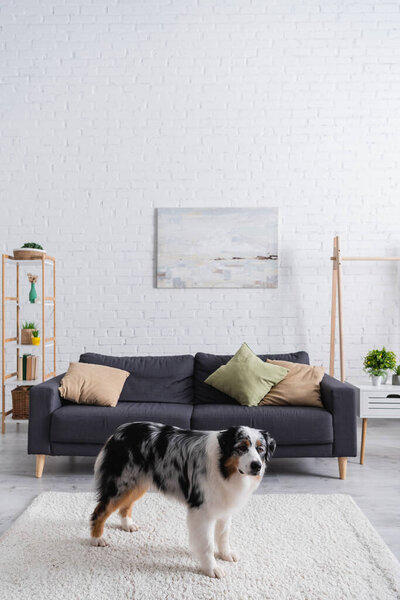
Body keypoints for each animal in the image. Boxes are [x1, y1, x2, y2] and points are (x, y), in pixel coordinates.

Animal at [90, 422, 276, 576]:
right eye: (242, 447)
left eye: (261, 449)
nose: (257, 466)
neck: (223, 467)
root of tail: (118, 432)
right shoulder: (202, 510)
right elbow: (207, 544)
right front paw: (212, 569)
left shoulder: (224, 504)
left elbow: (223, 534)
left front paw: (226, 554)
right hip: (121, 484)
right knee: (100, 511)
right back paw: (97, 539)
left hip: (137, 484)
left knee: (125, 506)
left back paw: (127, 524)